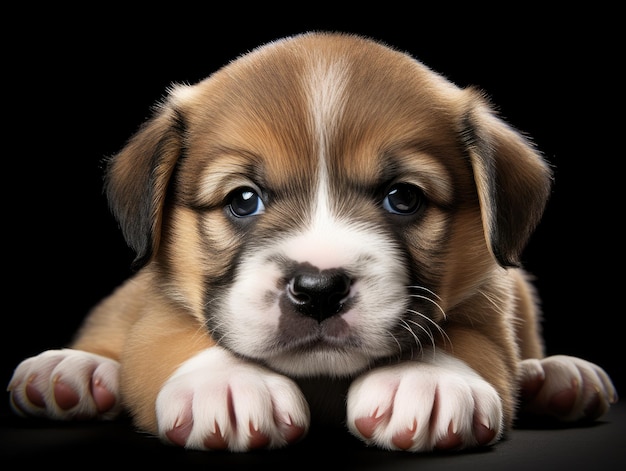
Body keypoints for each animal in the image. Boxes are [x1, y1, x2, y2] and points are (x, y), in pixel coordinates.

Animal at [8, 32, 616, 454]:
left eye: (403, 198)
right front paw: (228, 384)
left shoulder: (491, 299)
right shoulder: (160, 307)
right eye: (243, 200)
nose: (319, 289)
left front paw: (429, 378)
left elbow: (471, 341)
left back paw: (558, 377)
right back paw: (71, 371)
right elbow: (171, 337)